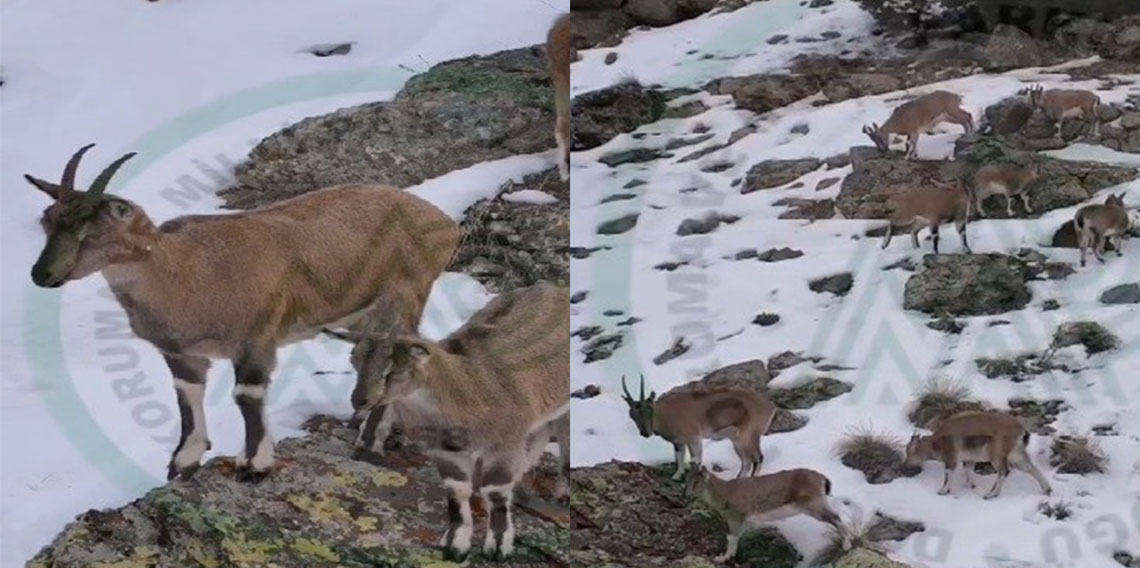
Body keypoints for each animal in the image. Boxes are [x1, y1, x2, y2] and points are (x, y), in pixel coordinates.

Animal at [23, 144, 458, 481]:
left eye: (92, 231)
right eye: (47, 221)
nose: (42, 274)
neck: (183, 271)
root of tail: (445, 223)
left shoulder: (256, 339)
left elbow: (247, 396)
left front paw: (255, 465)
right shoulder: (181, 354)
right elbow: (186, 396)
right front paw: (184, 461)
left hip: (405, 295)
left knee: (394, 351)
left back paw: (370, 439)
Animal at [620, 374, 779, 481]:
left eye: (648, 409)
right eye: (632, 415)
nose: (645, 433)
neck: (666, 413)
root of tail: (769, 407)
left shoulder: (694, 438)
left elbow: (696, 459)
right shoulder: (678, 442)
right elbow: (679, 458)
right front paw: (676, 476)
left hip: (748, 436)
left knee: (758, 458)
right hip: (737, 440)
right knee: (746, 462)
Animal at [684, 465, 848, 563]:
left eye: (697, 482)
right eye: (687, 480)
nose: (686, 494)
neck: (725, 495)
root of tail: (823, 480)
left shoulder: (736, 516)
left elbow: (731, 537)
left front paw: (721, 558)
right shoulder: (745, 520)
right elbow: (737, 538)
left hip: (813, 505)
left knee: (837, 518)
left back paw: (846, 545)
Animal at [902, 410, 1053, 499]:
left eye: (909, 450)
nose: (905, 464)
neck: (936, 442)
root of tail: (1021, 430)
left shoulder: (951, 457)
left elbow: (948, 474)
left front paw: (943, 491)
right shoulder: (969, 459)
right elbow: (968, 470)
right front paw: (970, 485)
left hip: (997, 456)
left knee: (1004, 471)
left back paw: (991, 494)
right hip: (1017, 454)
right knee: (1031, 468)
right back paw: (1047, 490)